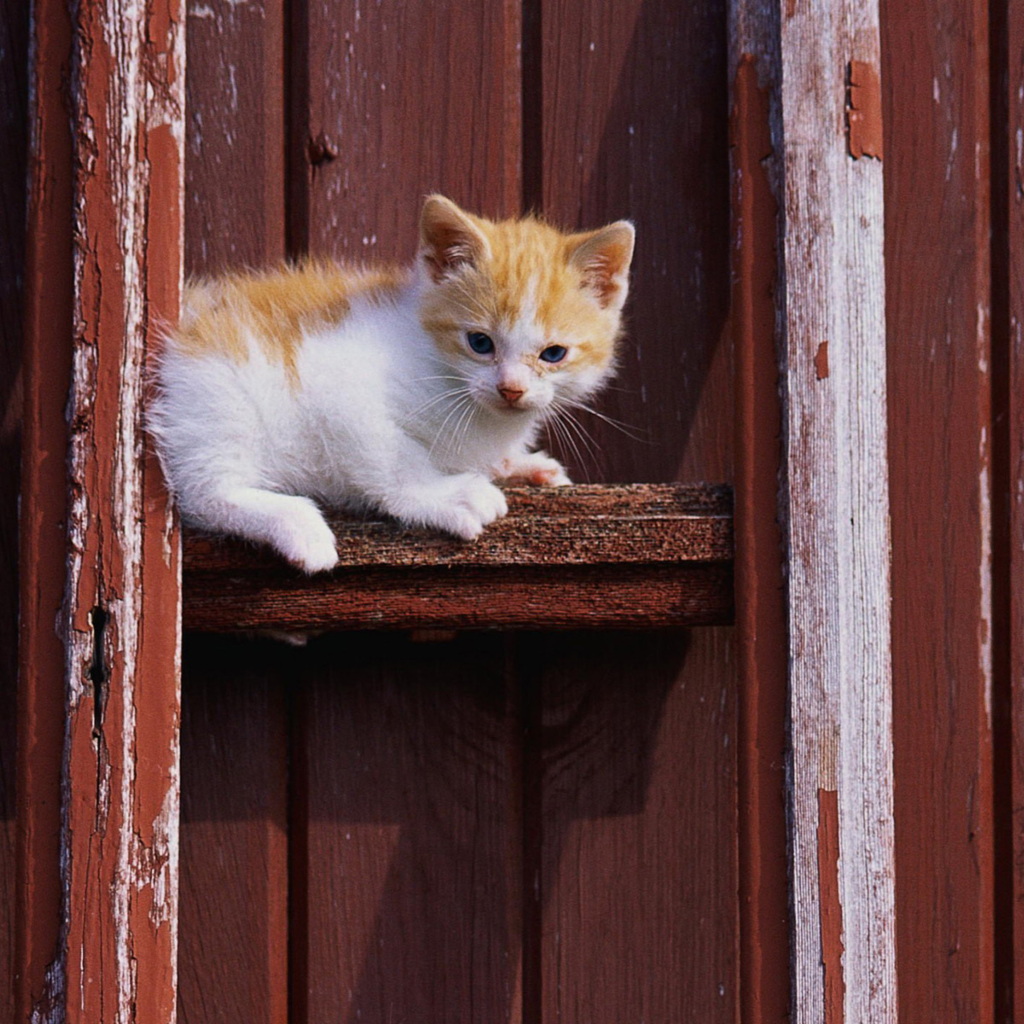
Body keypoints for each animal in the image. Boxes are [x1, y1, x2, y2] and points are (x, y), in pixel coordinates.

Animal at [149, 195, 630, 573]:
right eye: (480, 342)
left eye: (554, 354)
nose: (511, 389)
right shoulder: (340, 387)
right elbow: (393, 459)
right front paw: (447, 495)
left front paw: (519, 464)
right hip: (220, 395)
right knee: (205, 492)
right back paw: (298, 523)